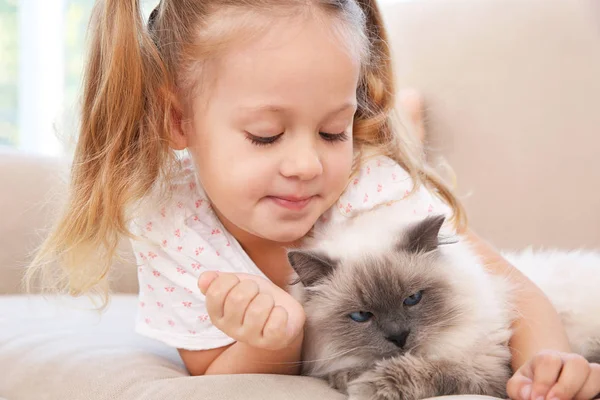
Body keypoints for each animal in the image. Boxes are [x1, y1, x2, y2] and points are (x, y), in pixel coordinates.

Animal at [288, 206, 600, 400]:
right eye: (362, 316)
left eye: (412, 299)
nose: (399, 336)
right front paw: (347, 377)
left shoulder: (489, 373)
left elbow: (433, 370)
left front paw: (369, 386)